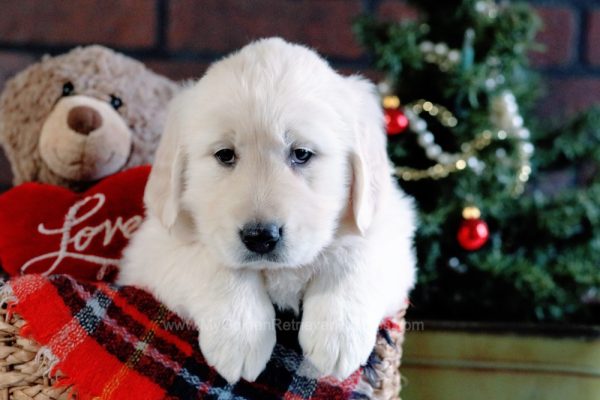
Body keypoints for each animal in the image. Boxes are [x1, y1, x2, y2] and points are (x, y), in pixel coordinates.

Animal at [119, 38, 414, 384]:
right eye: (225, 155)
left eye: (302, 154)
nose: (260, 237)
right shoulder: (154, 246)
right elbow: (214, 262)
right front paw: (239, 335)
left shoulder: (388, 228)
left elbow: (355, 252)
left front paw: (337, 335)